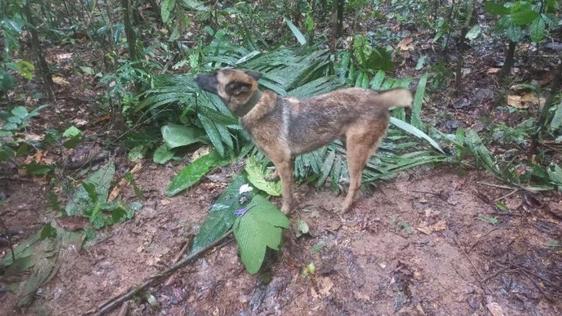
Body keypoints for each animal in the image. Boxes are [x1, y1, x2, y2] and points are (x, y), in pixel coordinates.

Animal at [196, 68, 412, 212]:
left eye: (214, 76)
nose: (195, 76)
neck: (253, 106)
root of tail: (378, 97)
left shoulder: (283, 161)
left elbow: (286, 192)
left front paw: (285, 211)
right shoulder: (286, 160)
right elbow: (278, 176)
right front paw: (272, 177)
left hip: (353, 150)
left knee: (357, 181)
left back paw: (345, 205)